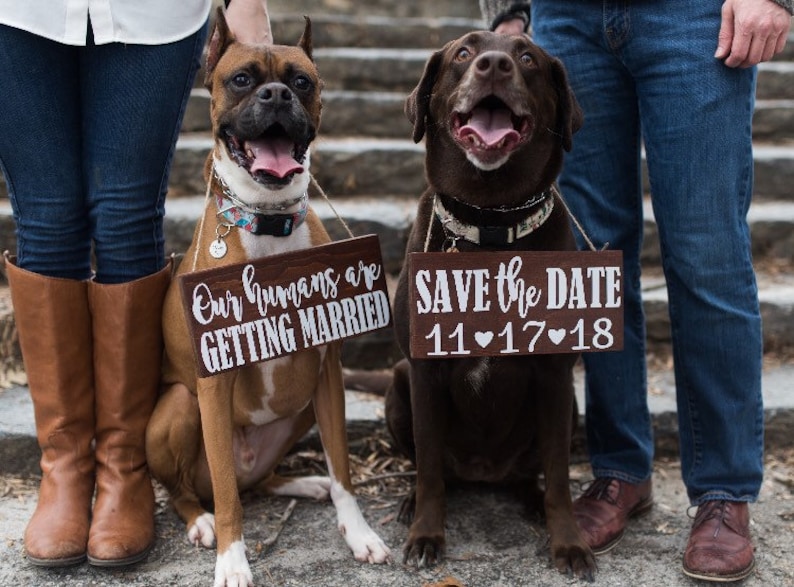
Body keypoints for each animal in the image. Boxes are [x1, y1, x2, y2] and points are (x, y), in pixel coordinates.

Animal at [145, 10, 390, 587]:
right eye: (241, 79)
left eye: (302, 81)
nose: (276, 94)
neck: (268, 218)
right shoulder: (212, 384)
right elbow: (229, 498)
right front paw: (232, 560)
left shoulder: (328, 374)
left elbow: (343, 468)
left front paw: (359, 532)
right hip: (180, 405)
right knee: (195, 489)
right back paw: (200, 522)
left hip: (298, 411)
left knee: (257, 481)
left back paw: (301, 484)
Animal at [384, 31, 592, 580]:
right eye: (462, 53)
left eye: (527, 58)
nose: (494, 64)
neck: (492, 220)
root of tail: (484, 473)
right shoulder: (423, 370)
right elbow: (430, 471)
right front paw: (426, 536)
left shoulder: (556, 374)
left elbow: (560, 477)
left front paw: (569, 543)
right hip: (398, 384)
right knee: (432, 469)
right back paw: (410, 502)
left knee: (532, 473)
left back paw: (531, 499)